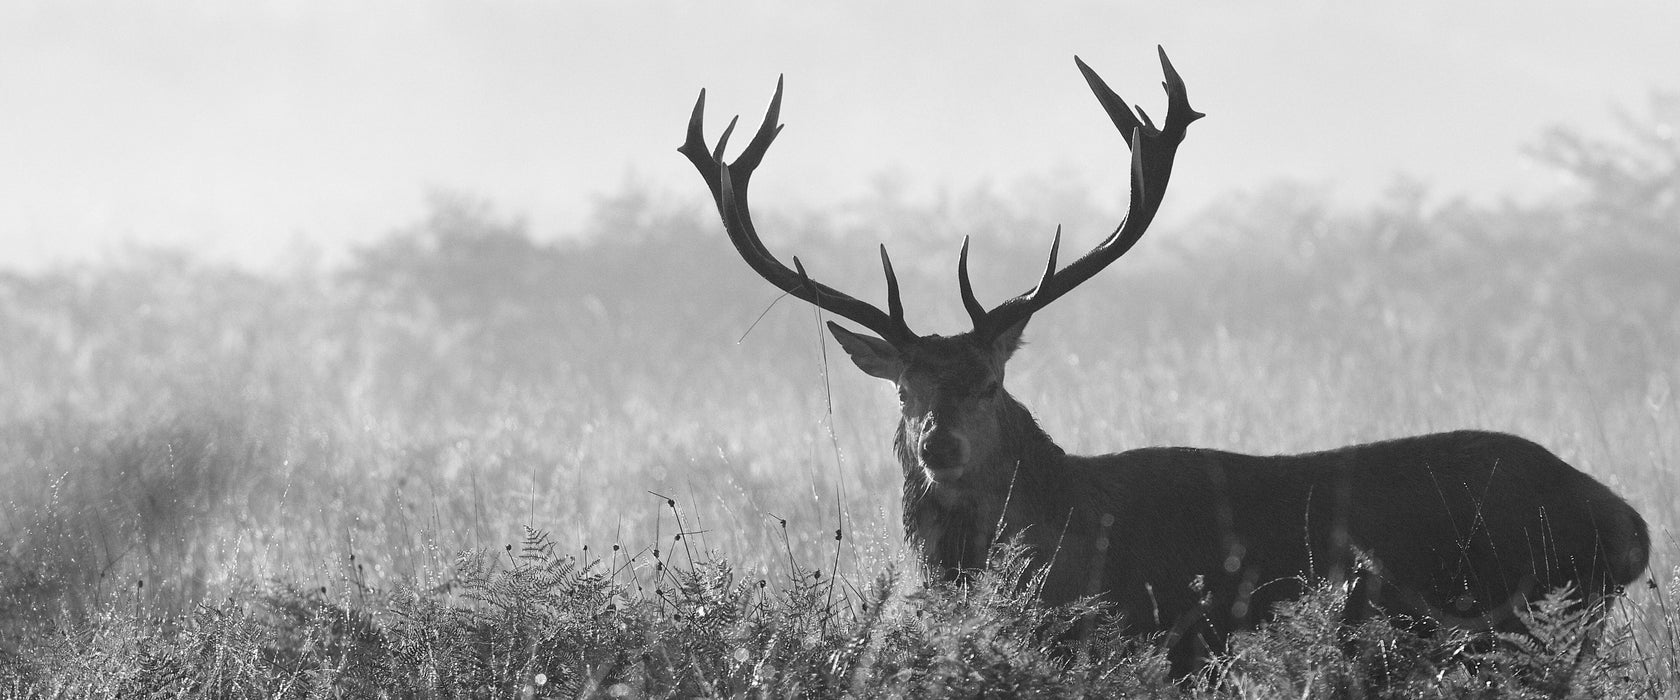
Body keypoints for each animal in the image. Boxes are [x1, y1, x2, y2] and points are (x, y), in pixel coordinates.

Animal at [675, 47, 1646, 671]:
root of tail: (1629, 527)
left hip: (1516, 617)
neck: (1064, 542)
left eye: (989, 383)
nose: (936, 444)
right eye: (904, 388)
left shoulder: (1157, 638)